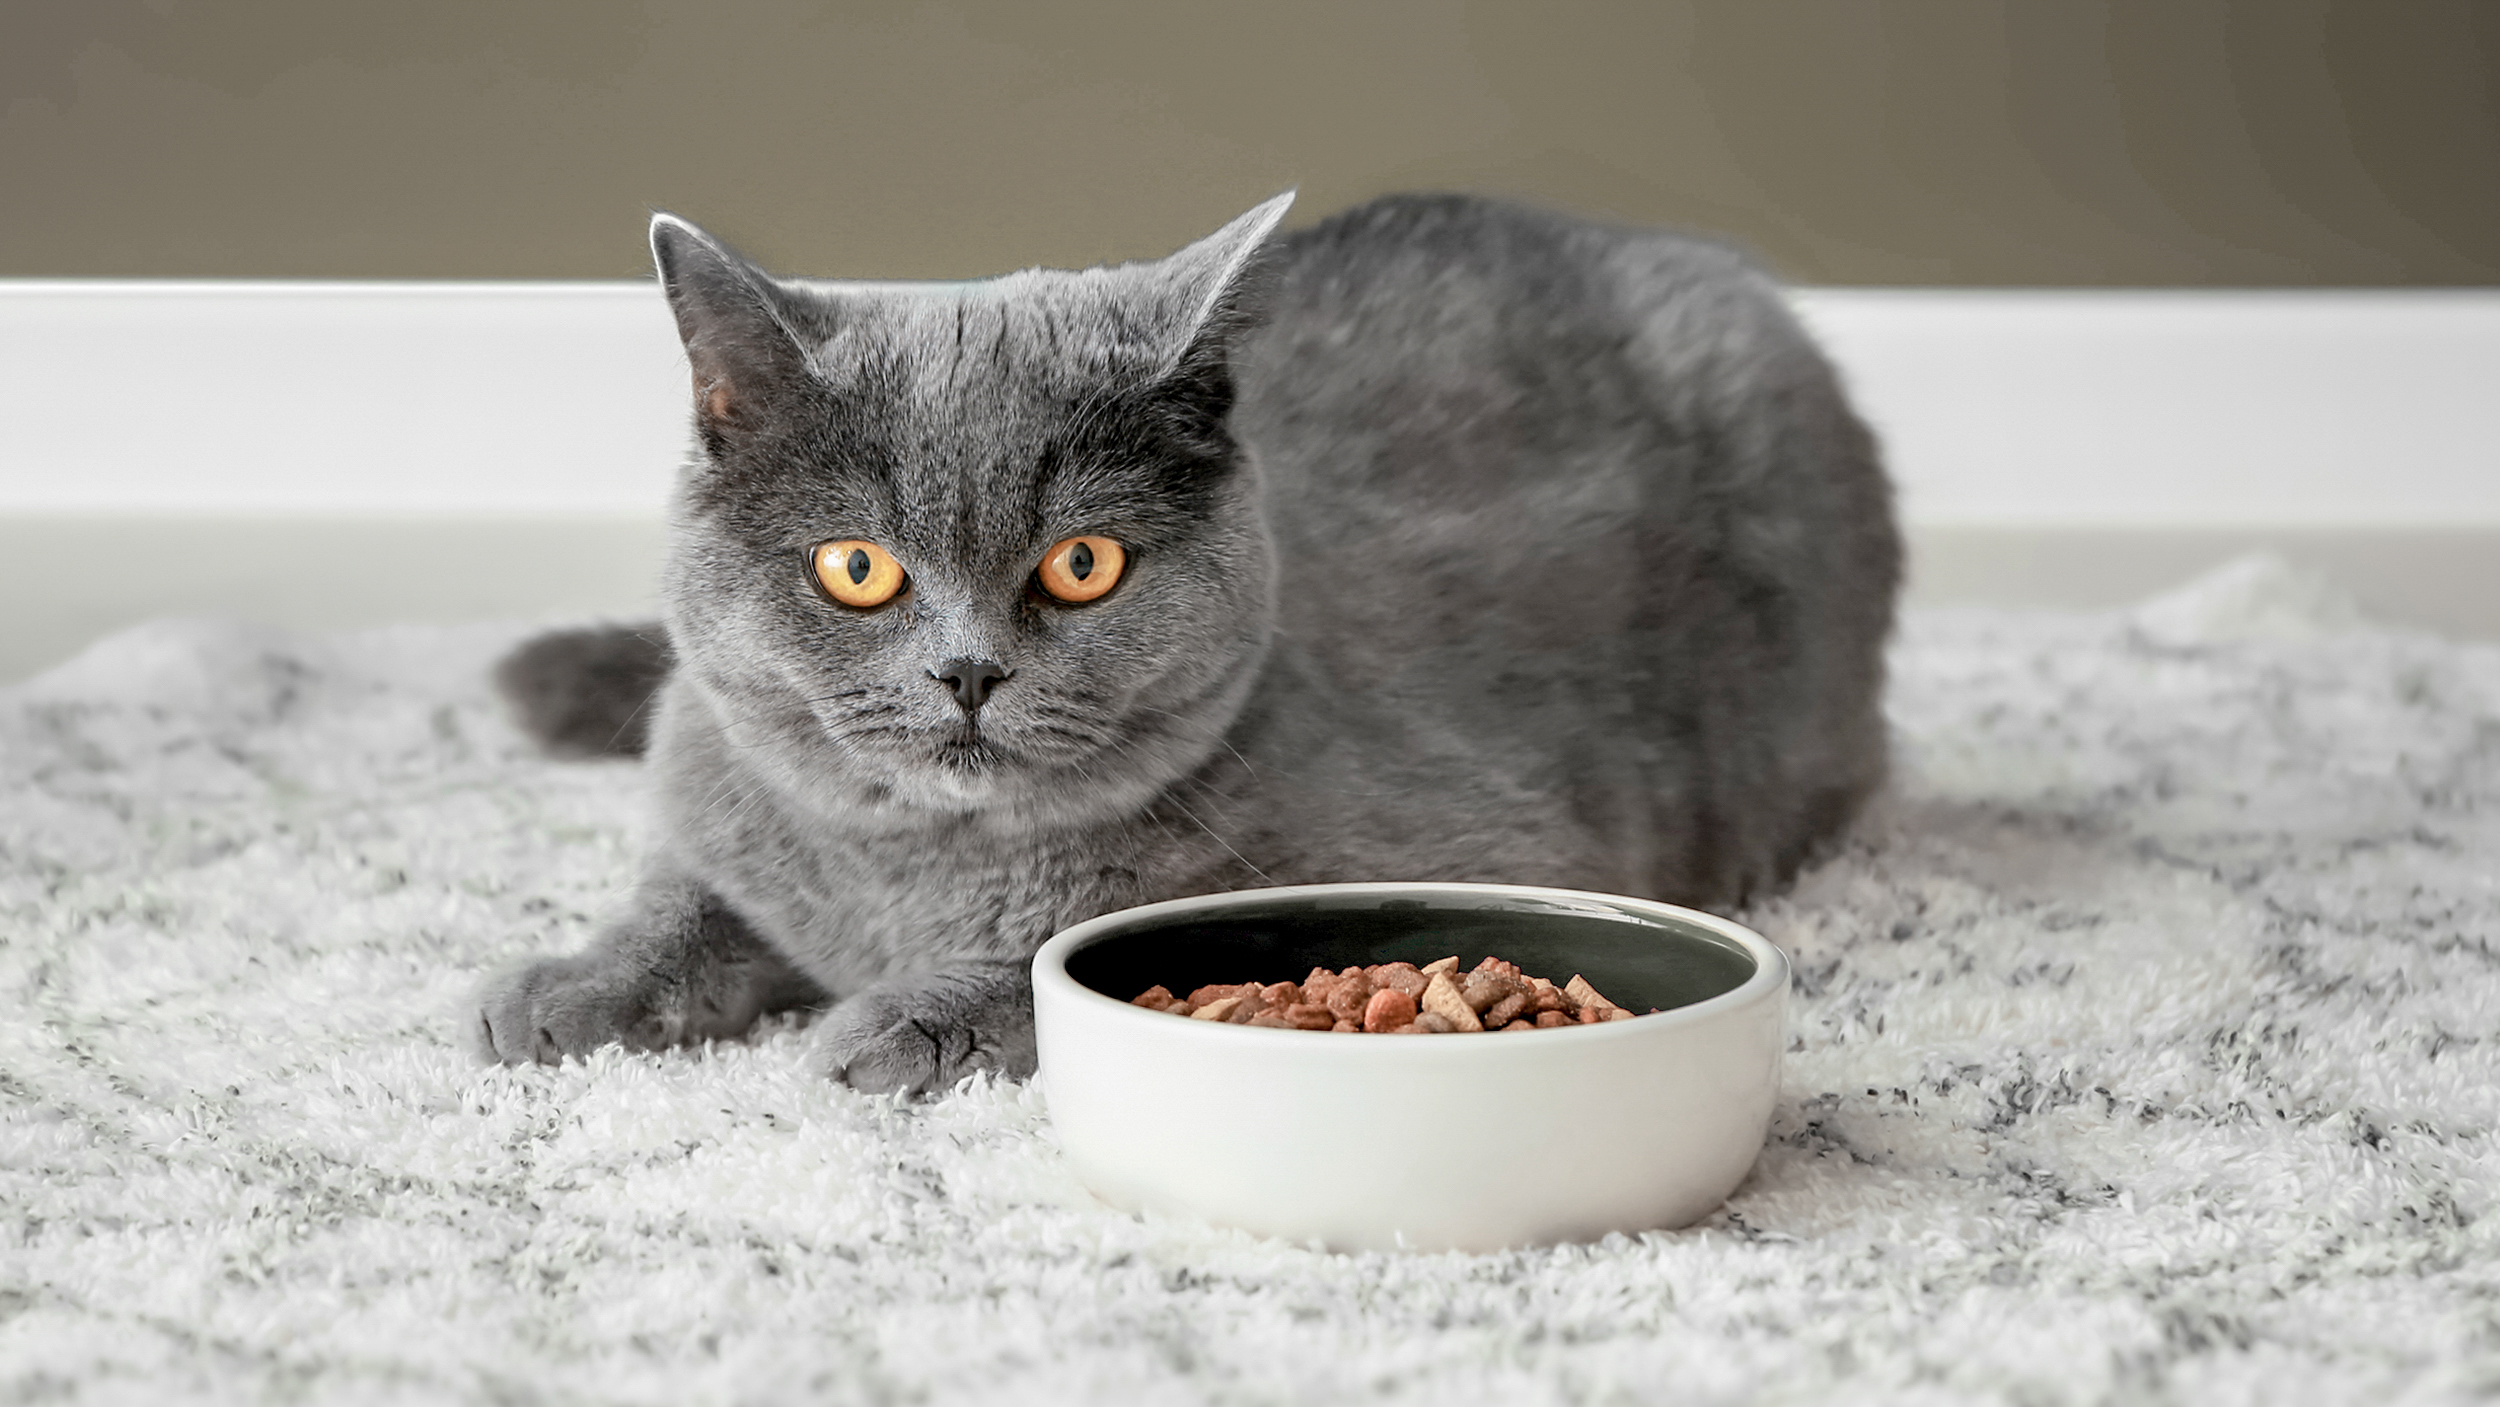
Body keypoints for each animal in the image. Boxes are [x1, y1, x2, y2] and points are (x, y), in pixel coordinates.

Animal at [472, 189, 1890, 1089]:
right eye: (856, 568)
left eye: (1082, 564)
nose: (967, 672)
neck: (912, 873)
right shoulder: (716, 791)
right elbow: (682, 902)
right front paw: (563, 989)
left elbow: (1054, 961)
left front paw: (901, 1026)